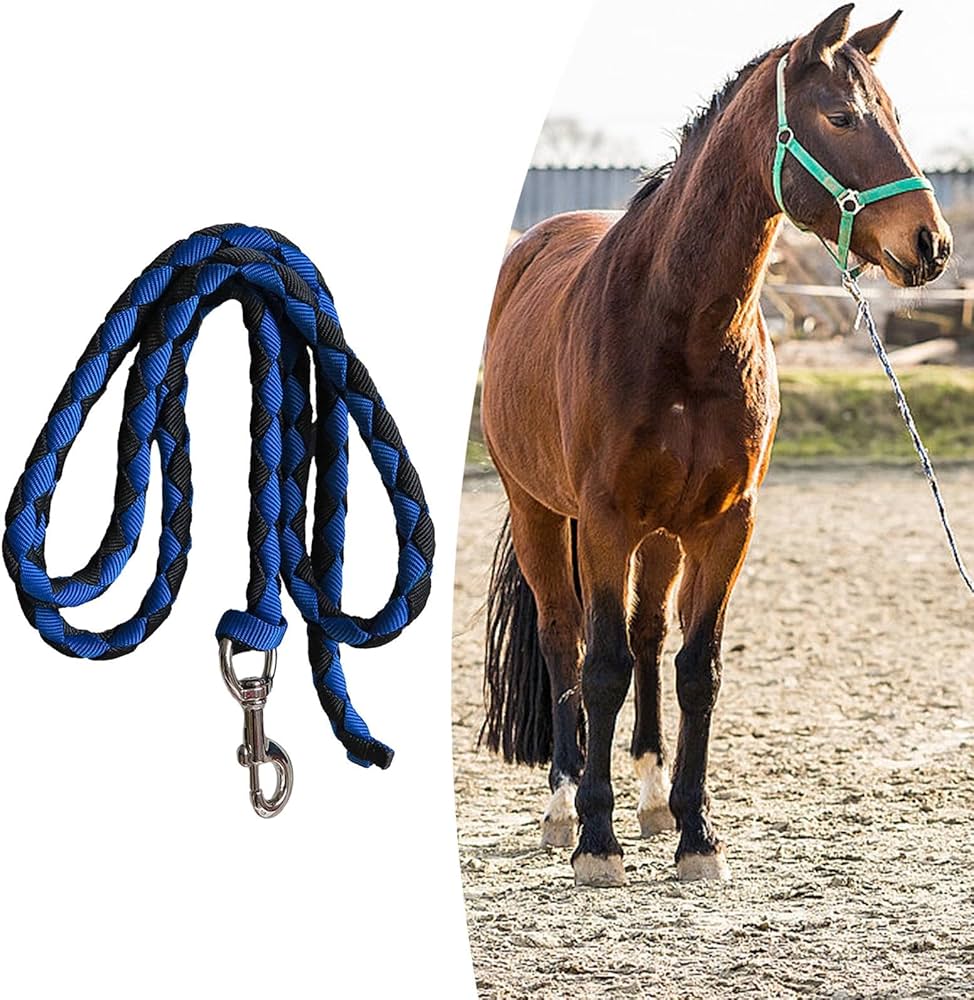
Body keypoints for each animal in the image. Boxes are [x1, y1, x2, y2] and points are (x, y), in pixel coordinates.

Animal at [479, 4, 952, 888]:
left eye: (898, 118)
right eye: (841, 117)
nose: (931, 244)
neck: (681, 327)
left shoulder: (727, 524)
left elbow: (696, 670)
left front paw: (697, 833)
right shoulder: (604, 523)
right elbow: (599, 668)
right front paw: (598, 843)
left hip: (664, 537)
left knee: (646, 637)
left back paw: (652, 798)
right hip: (539, 513)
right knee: (564, 640)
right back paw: (563, 806)